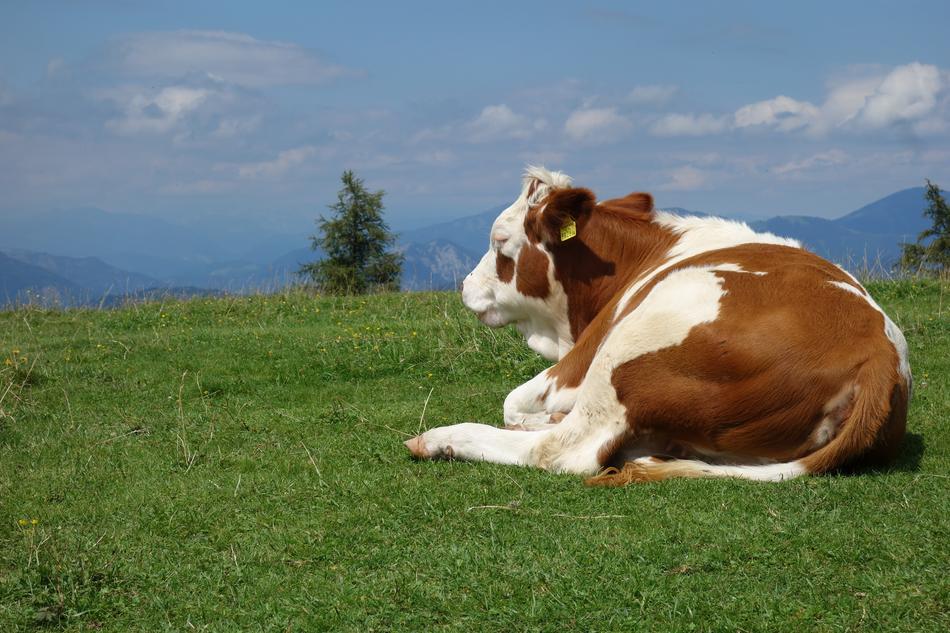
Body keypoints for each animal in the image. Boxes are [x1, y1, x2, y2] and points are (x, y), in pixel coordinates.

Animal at [404, 167, 911, 485]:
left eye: (500, 243)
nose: (466, 285)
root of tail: (878, 354)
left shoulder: (579, 359)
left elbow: (512, 402)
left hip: (632, 345)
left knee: (567, 450)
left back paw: (443, 439)